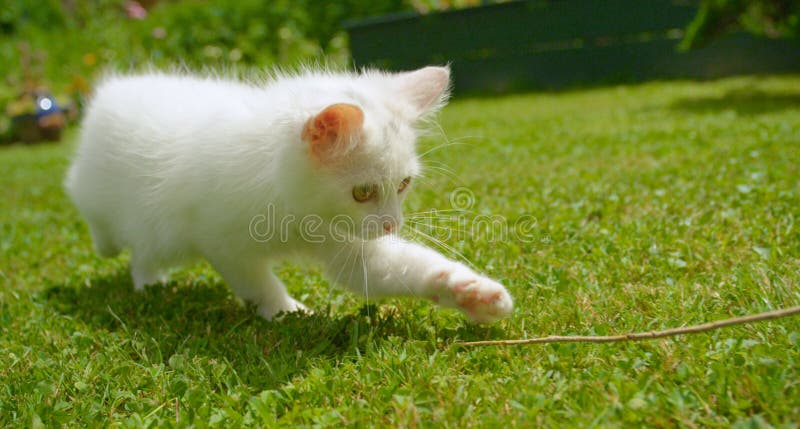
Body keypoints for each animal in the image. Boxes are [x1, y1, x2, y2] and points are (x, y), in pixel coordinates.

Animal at [64, 66, 512, 320]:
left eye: (403, 185)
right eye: (363, 191)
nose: (391, 224)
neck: (294, 209)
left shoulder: (347, 246)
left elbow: (405, 268)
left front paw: (475, 294)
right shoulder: (222, 241)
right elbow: (258, 282)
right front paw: (285, 312)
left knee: (143, 253)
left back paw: (148, 284)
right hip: (107, 198)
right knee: (98, 219)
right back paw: (116, 254)